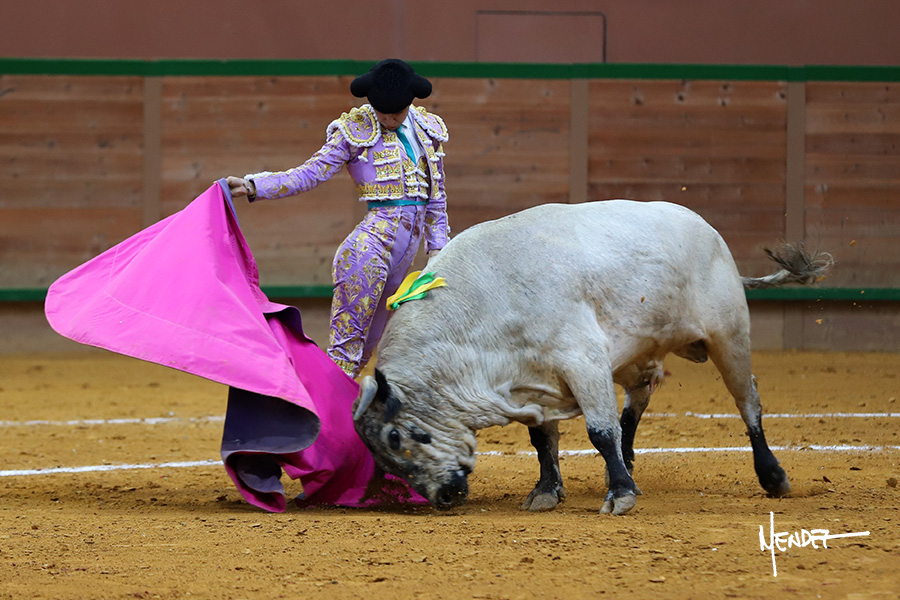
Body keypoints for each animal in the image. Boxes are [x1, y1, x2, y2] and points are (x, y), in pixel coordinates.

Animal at [352, 200, 832, 515]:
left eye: (396, 436)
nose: (443, 496)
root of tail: (707, 230)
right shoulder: (534, 381)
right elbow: (544, 441)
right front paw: (547, 491)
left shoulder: (581, 360)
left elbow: (599, 431)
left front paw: (620, 495)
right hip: (637, 353)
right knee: (637, 401)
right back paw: (629, 458)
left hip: (728, 336)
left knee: (747, 401)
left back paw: (772, 476)